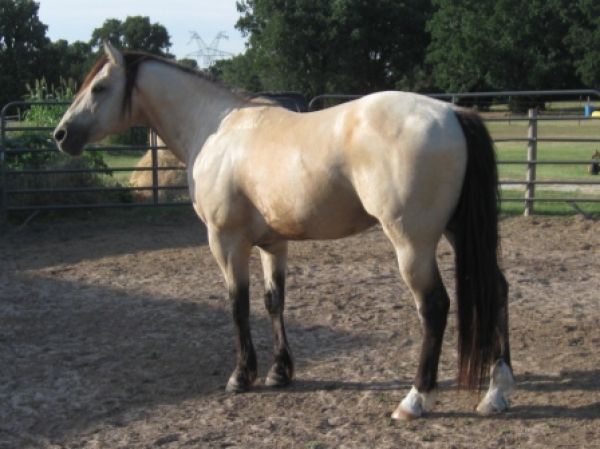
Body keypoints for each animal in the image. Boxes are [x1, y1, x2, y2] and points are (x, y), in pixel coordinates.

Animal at [54, 42, 514, 420]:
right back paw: (497, 391)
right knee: (496, 289)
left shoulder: (226, 242)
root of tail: (452, 113)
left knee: (434, 307)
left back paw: (415, 399)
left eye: (99, 88)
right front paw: (279, 372)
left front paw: (241, 376)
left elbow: (238, 304)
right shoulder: (273, 243)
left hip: (412, 243)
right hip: (457, 232)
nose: (61, 134)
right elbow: (274, 302)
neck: (216, 128)